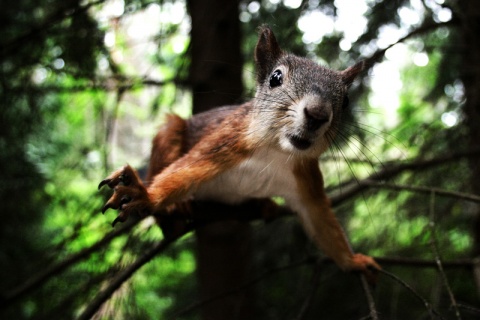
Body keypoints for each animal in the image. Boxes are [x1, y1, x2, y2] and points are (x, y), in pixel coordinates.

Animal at [99, 25, 380, 276]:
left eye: (345, 100)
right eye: (276, 78)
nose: (317, 114)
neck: (275, 151)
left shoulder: (306, 177)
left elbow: (321, 222)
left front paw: (354, 261)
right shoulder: (226, 141)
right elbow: (185, 171)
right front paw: (147, 195)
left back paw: (263, 205)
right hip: (171, 133)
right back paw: (176, 209)